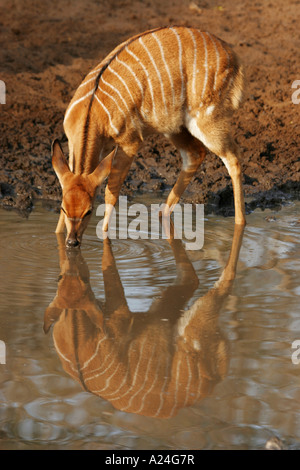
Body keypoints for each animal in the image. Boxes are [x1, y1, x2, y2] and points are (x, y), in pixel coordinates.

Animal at [52, 25, 246, 248]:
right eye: (63, 208)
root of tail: (233, 56)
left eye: (88, 211)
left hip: (208, 120)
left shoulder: (130, 142)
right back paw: (162, 214)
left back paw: (240, 223)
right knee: (195, 155)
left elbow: (111, 193)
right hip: (175, 127)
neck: (93, 112)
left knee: (233, 158)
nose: (72, 241)